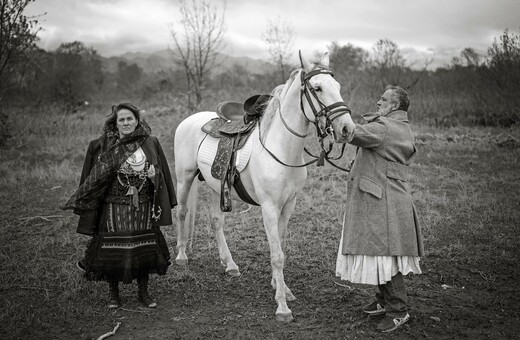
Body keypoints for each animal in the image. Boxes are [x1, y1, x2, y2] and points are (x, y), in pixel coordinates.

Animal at [173, 50, 356, 322]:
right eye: (317, 88)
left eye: (338, 86)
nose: (347, 129)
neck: (282, 148)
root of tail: (190, 120)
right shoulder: (269, 207)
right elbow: (277, 254)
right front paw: (282, 306)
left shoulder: (288, 205)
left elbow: (280, 246)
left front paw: (281, 287)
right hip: (184, 178)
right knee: (182, 212)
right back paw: (182, 256)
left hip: (217, 188)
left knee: (216, 222)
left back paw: (230, 264)